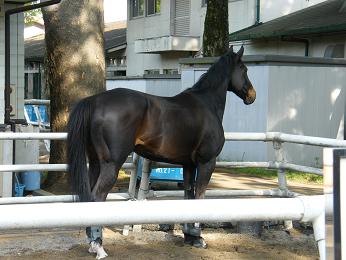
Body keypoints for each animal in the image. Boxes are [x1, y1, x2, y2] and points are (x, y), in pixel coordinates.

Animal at [68, 46, 256, 258]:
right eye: (244, 69)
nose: (252, 95)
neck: (206, 104)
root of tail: (95, 101)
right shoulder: (207, 163)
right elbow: (199, 197)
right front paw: (199, 238)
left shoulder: (189, 165)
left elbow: (188, 196)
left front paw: (190, 237)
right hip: (111, 165)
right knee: (97, 197)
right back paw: (99, 246)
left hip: (95, 164)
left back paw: (92, 243)